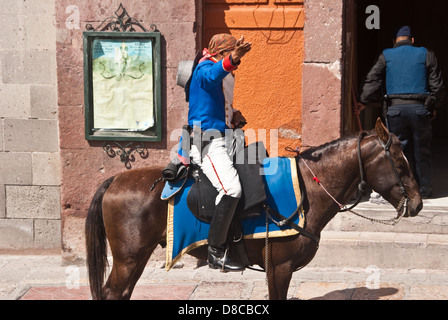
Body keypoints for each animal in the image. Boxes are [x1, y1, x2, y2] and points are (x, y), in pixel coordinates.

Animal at [85, 118, 424, 300]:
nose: (418, 203)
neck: (309, 190)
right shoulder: (279, 267)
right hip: (129, 259)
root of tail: (115, 179)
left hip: (137, 257)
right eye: (399, 162)